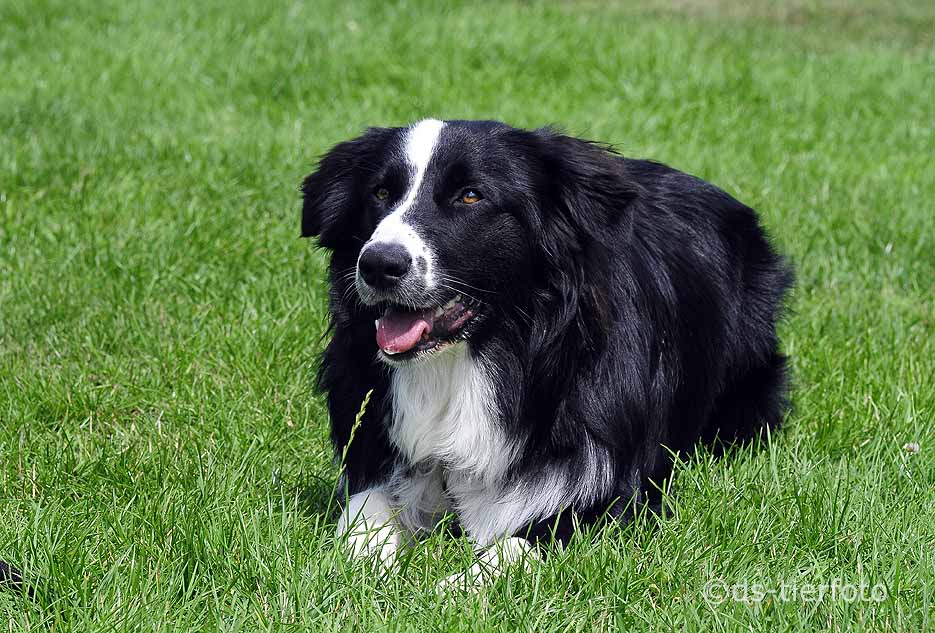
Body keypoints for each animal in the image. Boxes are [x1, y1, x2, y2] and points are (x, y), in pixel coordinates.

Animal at [298, 119, 788, 588]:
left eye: (470, 196)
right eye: (380, 193)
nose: (378, 264)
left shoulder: (617, 492)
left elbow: (519, 542)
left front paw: (451, 587)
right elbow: (365, 513)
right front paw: (357, 565)